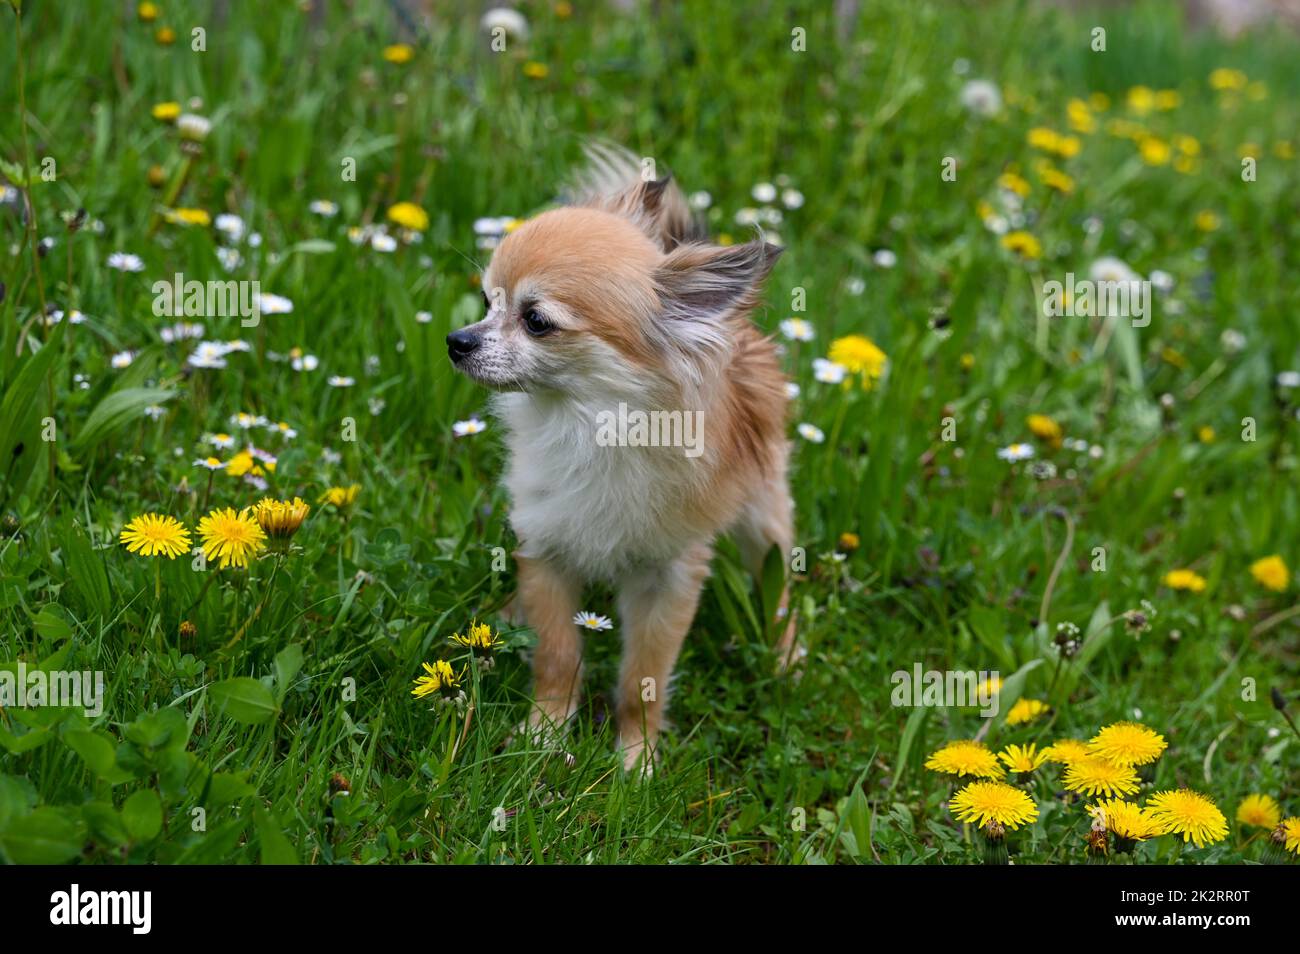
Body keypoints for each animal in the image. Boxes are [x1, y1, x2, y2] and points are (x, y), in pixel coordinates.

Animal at [457, 143, 800, 779]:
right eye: (487, 303)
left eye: (536, 320)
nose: (456, 341)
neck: (590, 424)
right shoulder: (546, 550)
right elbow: (557, 655)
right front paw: (544, 735)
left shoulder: (670, 577)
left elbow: (645, 678)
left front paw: (636, 761)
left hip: (764, 514)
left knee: (778, 585)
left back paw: (785, 654)